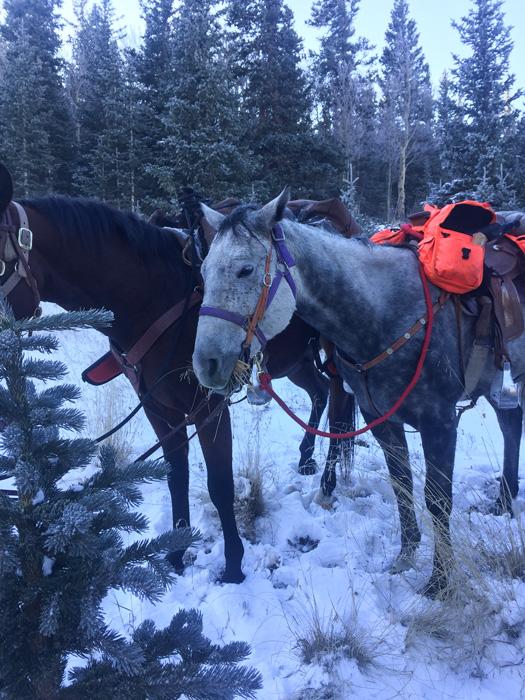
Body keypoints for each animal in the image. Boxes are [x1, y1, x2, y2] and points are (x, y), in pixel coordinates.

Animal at [0, 163, 353, 584]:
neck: (153, 296)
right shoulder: (158, 407)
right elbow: (176, 476)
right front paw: (175, 552)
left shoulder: (208, 406)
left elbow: (220, 484)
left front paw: (233, 566)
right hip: (293, 361)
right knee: (318, 392)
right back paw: (306, 459)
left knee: (338, 400)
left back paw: (328, 482)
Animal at [192, 189, 525, 596]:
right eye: (204, 272)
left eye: (245, 270)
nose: (206, 363)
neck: (384, 314)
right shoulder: (379, 418)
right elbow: (401, 486)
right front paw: (405, 556)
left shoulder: (440, 422)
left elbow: (437, 499)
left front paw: (440, 582)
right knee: (510, 421)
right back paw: (505, 499)